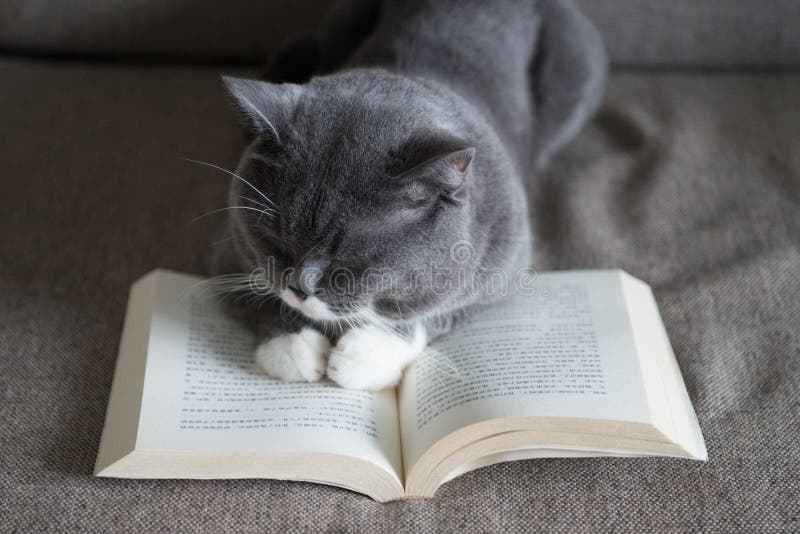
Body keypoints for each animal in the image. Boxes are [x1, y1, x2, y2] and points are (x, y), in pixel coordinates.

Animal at [209, 0, 604, 392]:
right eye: (273, 238)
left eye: (351, 259)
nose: (299, 287)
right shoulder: (229, 252)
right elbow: (252, 297)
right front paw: (295, 348)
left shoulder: (505, 272)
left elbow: (440, 313)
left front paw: (364, 355)